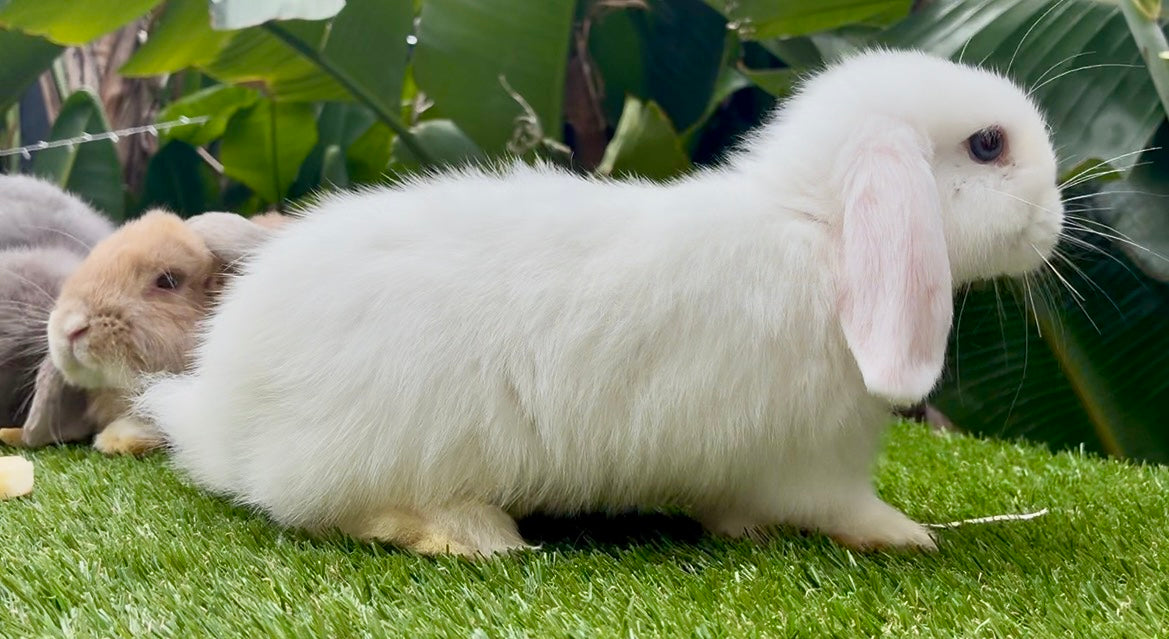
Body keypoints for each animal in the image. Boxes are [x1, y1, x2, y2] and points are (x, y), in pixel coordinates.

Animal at [136, 49, 1066, 558]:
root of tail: (223, 411)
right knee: (347, 510)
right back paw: (476, 533)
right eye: (988, 145)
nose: (1056, 220)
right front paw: (904, 533)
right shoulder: (813, 461)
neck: (817, 233)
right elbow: (839, 505)